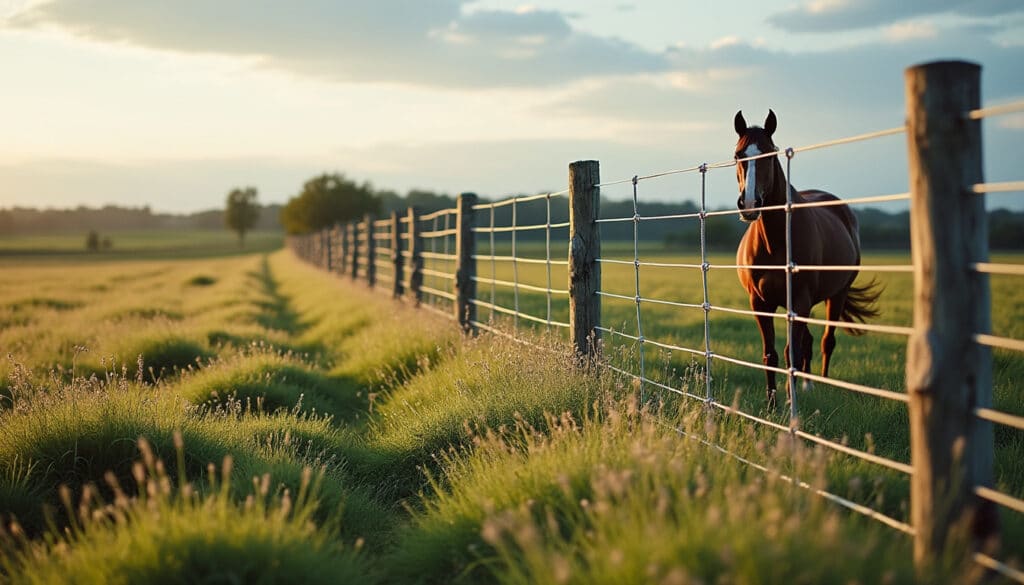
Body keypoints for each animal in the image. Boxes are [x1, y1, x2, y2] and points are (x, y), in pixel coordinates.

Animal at [733, 110, 881, 409]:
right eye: (738, 155)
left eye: (769, 154)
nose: (750, 204)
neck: (776, 242)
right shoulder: (760, 304)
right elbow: (771, 354)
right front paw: (772, 403)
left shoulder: (798, 302)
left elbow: (792, 352)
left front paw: (791, 403)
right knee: (811, 342)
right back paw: (807, 385)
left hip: (836, 295)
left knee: (826, 341)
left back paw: (819, 383)